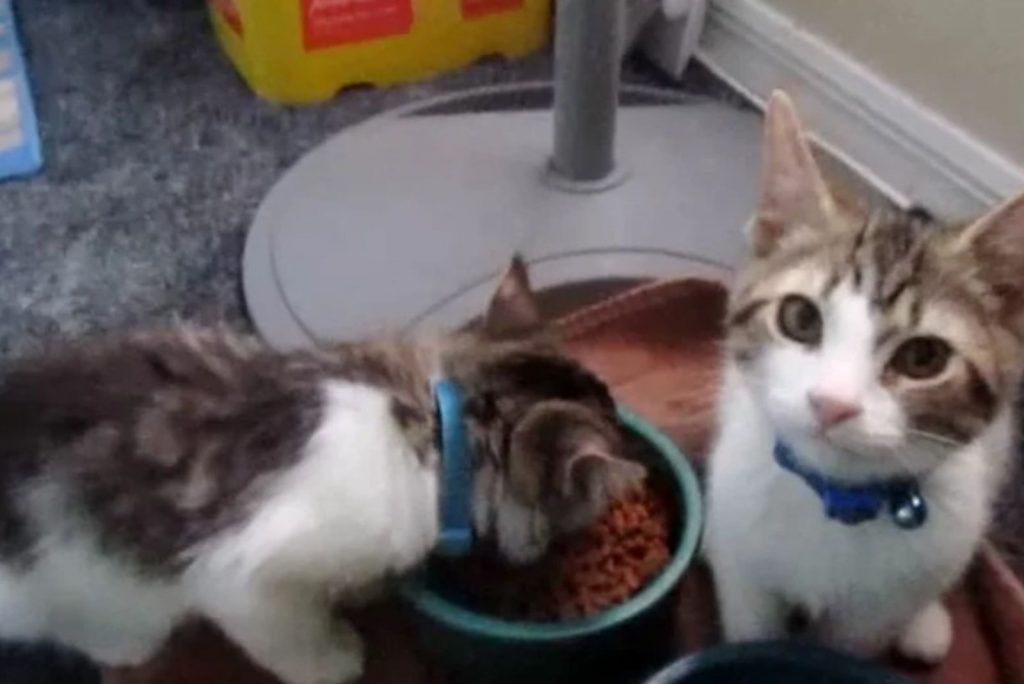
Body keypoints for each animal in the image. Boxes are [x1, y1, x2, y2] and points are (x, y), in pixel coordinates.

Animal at [704, 89, 1024, 663]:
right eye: (800, 318)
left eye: (923, 358)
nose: (832, 403)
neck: (836, 500)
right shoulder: (746, 564)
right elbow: (750, 627)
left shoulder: (875, 613)